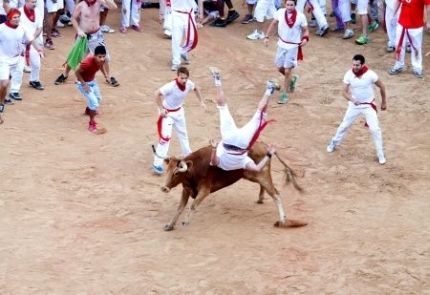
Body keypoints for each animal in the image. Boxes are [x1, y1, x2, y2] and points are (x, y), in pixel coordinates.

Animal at [160, 143, 306, 231]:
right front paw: (170, 225)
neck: (193, 169)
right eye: (167, 170)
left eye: (177, 172)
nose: (164, 188)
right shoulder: (186, 190)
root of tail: (263, 145)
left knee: (276, 194)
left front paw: (185, 222)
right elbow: (180, 208)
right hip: (254, 176)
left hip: (263, 175)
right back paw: (260, 199)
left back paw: (282, 220)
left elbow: (193, 205)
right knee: (266, 189)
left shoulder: (205, 190)